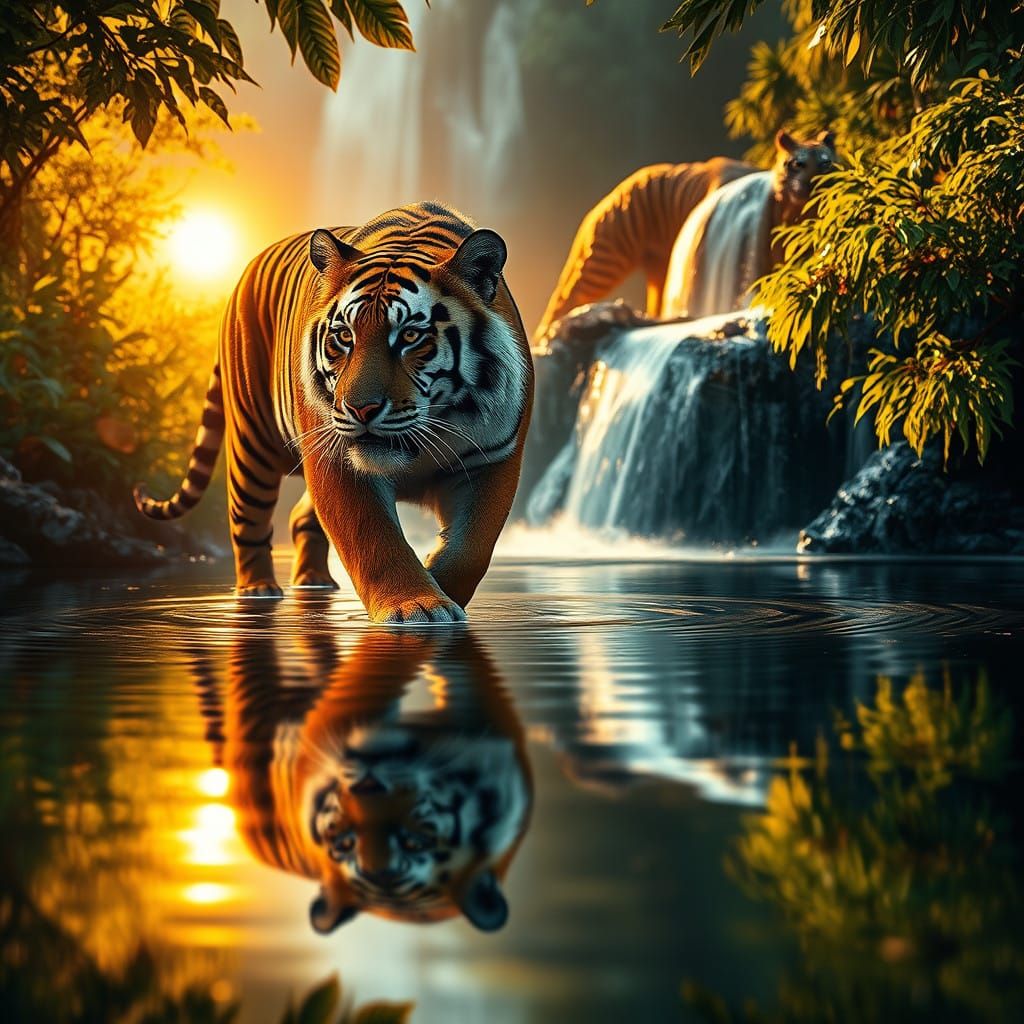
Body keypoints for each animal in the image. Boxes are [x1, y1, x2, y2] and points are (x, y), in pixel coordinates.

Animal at [134, 202, 534, 624]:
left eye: (410, 336)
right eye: (344, 336)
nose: (361, 408)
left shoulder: (492, 459)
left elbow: (473, 546)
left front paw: (440, 586)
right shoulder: (337, 461)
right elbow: (371, 538)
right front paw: (416, 607)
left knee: (300, 518)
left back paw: (315, 582)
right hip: (252, 445)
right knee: (248, 522)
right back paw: (258, 591)